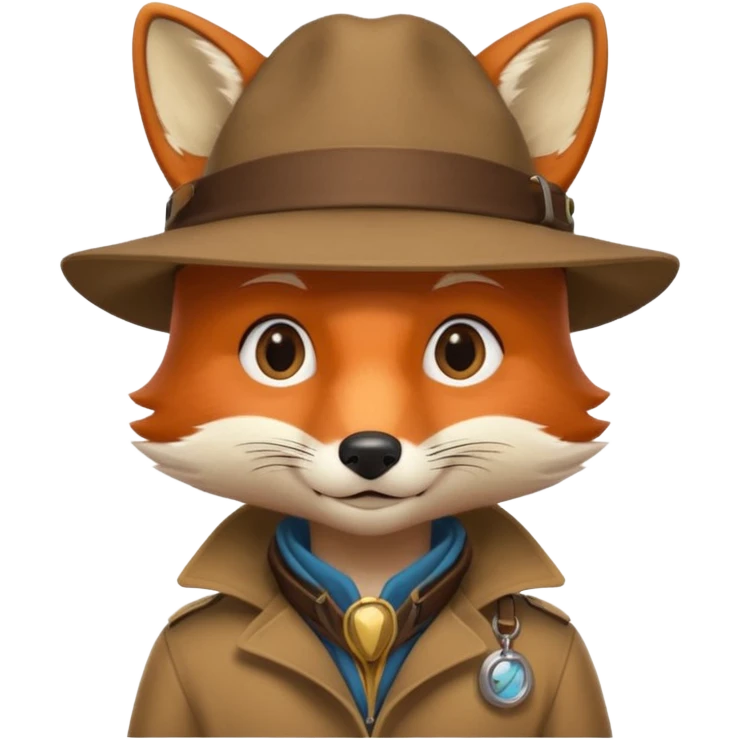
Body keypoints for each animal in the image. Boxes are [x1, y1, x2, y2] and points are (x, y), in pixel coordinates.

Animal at [60, 2, 679, 738]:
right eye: (277, 351)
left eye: (461, 351)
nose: (370, 451)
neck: (369, 586)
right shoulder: (168, 664)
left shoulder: (574, 668)